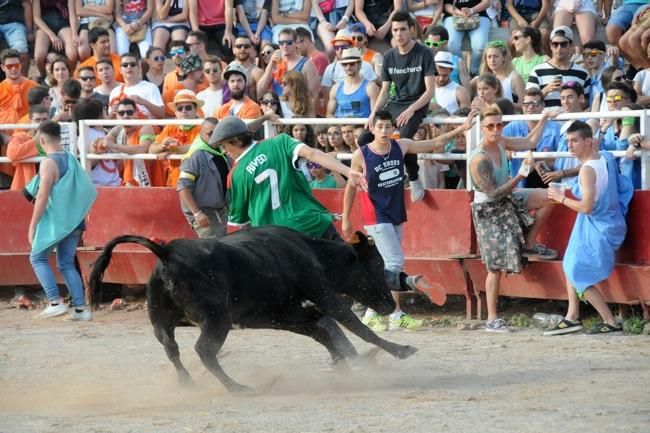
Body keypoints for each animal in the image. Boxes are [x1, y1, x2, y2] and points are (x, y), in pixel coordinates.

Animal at [87, 224, 416, 390]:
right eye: (377, 265)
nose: (389, 303)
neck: (310, 251)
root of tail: (168, 252)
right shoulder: (323, 294)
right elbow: (355, 326)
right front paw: (402, 350)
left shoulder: (282, 314)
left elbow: (321, 331)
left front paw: (344, 362)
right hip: (216, 320)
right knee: (203, 350)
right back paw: (238, 387)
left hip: (162, 322)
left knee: (171, 348)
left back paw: (188, 382)